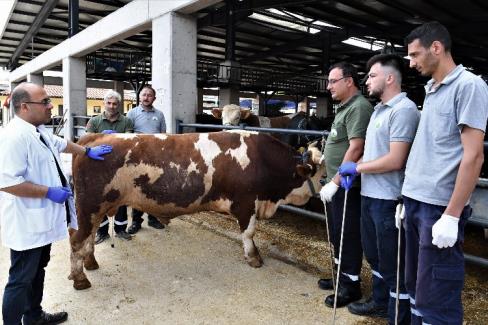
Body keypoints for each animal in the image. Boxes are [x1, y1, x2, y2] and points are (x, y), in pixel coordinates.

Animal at [66, 129, 322, 288]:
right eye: (320, 174)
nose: (321, 196)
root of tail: (93, 138)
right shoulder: (246, 203)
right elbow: (249, 233)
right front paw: (253, 258)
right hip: (89, 206)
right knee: (78, 239)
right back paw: (80, 279)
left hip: (96, 208)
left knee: (88, 237)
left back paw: (91, 263)